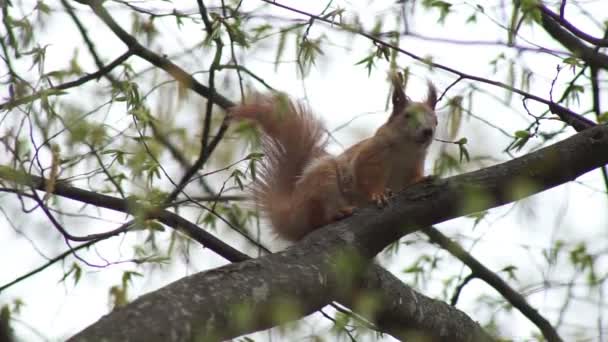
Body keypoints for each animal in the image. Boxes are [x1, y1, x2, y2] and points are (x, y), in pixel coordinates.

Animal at [232, 74, 436, 240]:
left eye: (435, 120)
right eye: (407, 116)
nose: (428, 131)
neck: (406, 149)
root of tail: (292, 219)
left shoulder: (416, 161)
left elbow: (411, 179)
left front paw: (422, 179)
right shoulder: (371, 155)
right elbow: (366, 177)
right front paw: (379, 194)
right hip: (322, 182)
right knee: (316, 220)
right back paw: (337, 214)